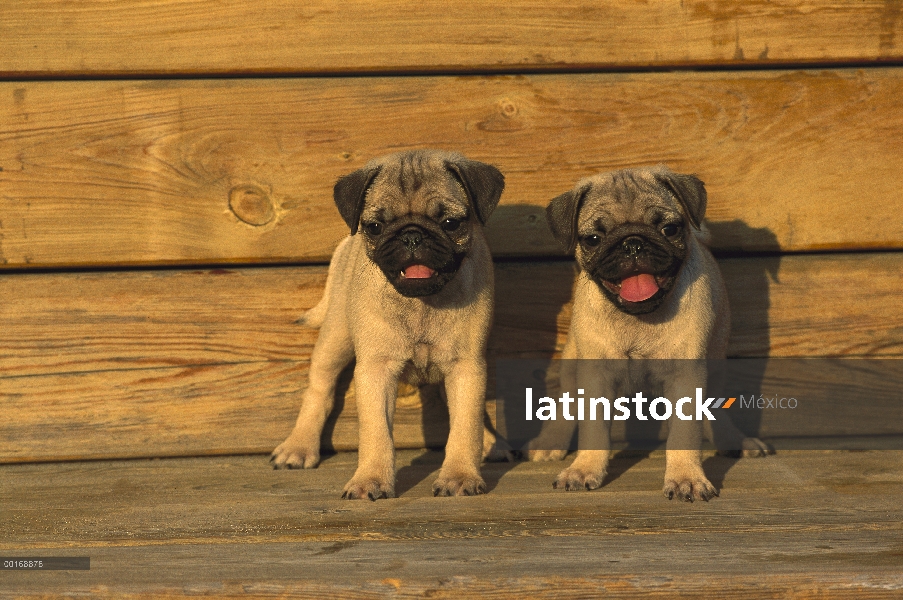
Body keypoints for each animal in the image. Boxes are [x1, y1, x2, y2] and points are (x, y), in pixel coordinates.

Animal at [272, 150, 504, 502]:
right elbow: (376, 433)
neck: (421, 302)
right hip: (336, 338)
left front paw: (460, 475)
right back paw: (298, 447)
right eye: (375, 227)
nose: (412, 236)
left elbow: (466, 425)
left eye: (450, 223)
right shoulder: (375, 371)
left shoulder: (465, 366)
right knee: (320, 389)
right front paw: (370, 480)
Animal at [540, 164, 768, 502]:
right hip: (572, 362)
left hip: (715, 365)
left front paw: (686, 478)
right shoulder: (596, 376)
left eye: (669, 229)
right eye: (593, 239)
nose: (632, 243)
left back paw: (735, 441)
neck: (639, 319)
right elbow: (593, 430)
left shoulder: (688, 376)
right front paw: (584, 470)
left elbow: (685, 434)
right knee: (567, 404)